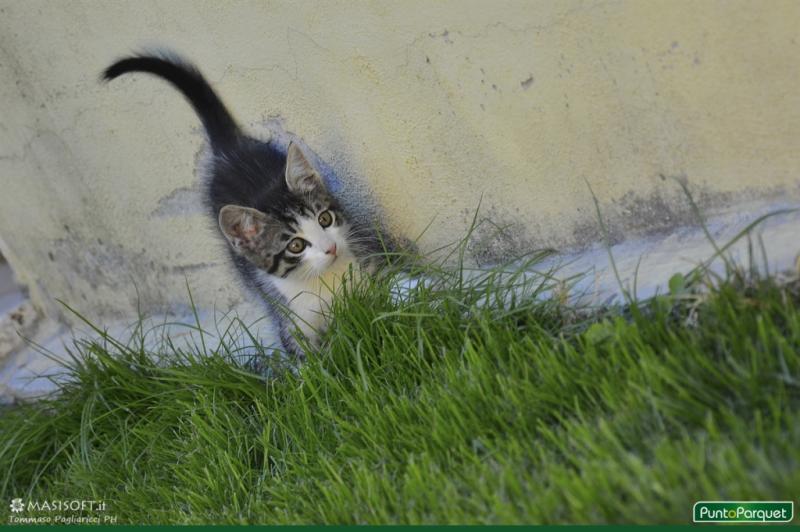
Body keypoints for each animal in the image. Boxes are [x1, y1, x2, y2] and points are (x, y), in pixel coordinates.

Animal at [102, 51, 378, 358]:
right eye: (296, 245)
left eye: (324, 219)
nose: (331, 248)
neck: (323, 281)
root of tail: (228, 150)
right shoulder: (290, 318)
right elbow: (309, 358)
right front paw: (323, 366)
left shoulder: (367, 273)